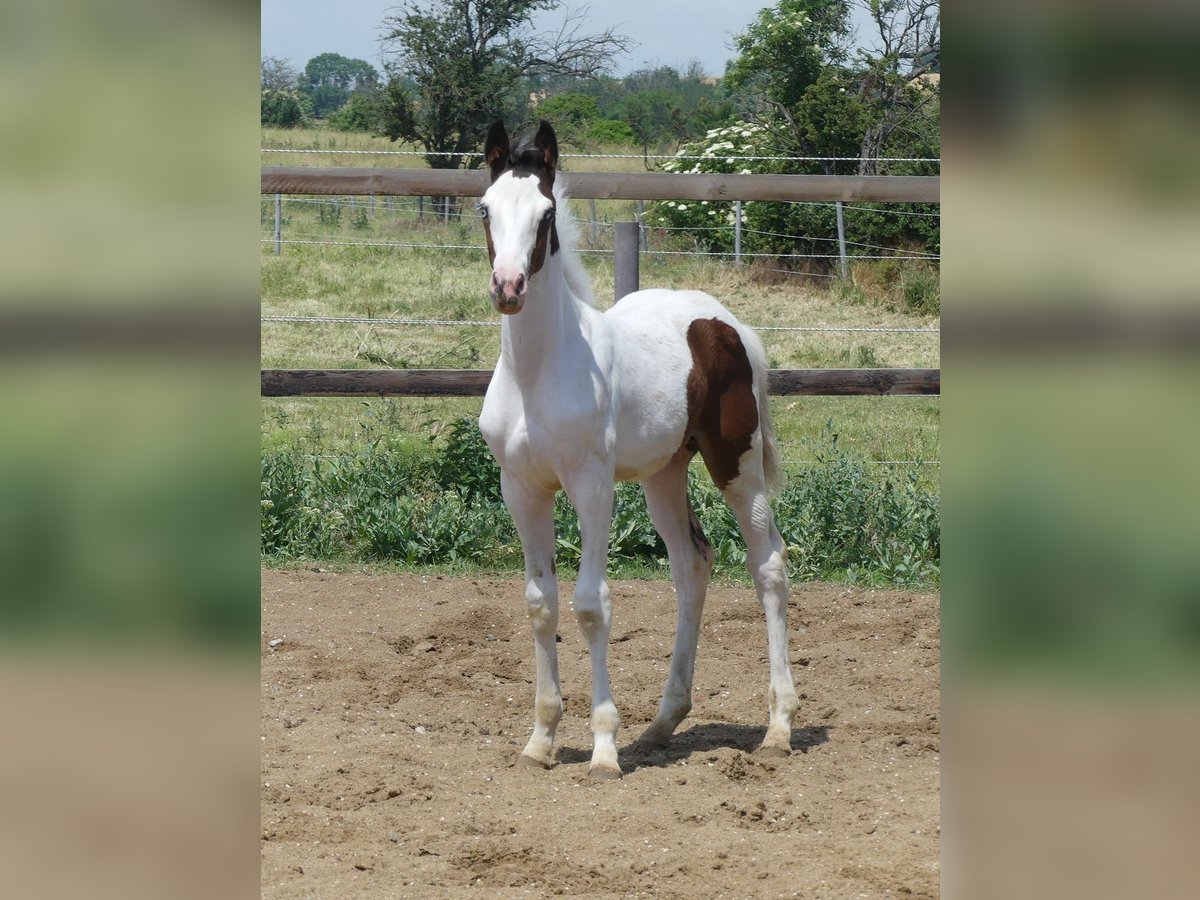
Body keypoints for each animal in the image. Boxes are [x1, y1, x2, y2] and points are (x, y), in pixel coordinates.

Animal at [475, 120, 796, 782]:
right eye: (485, 208)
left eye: (546, 213)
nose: (509, 287)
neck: (538, 372)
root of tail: (727, 325)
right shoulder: (521, 488)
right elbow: (541, 604)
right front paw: (541, 739)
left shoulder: (591, 486)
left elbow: (590, 606)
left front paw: (603, 748)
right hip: (663, 474)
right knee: (692, 563)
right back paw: (662, 723)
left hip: (737, 465)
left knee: (769, 564)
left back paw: (779, 728)